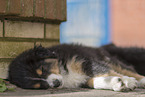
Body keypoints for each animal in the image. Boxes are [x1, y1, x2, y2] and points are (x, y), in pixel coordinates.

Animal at [8, 43, 145, 91]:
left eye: (42, 69)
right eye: (40, 85)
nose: (56, 84)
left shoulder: (85, 61)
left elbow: (103, 70)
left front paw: (128, 81)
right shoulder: (82, 79)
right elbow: (95, 81)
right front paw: (116, 83)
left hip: (109, 59)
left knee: (127, 70)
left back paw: (141, 80)